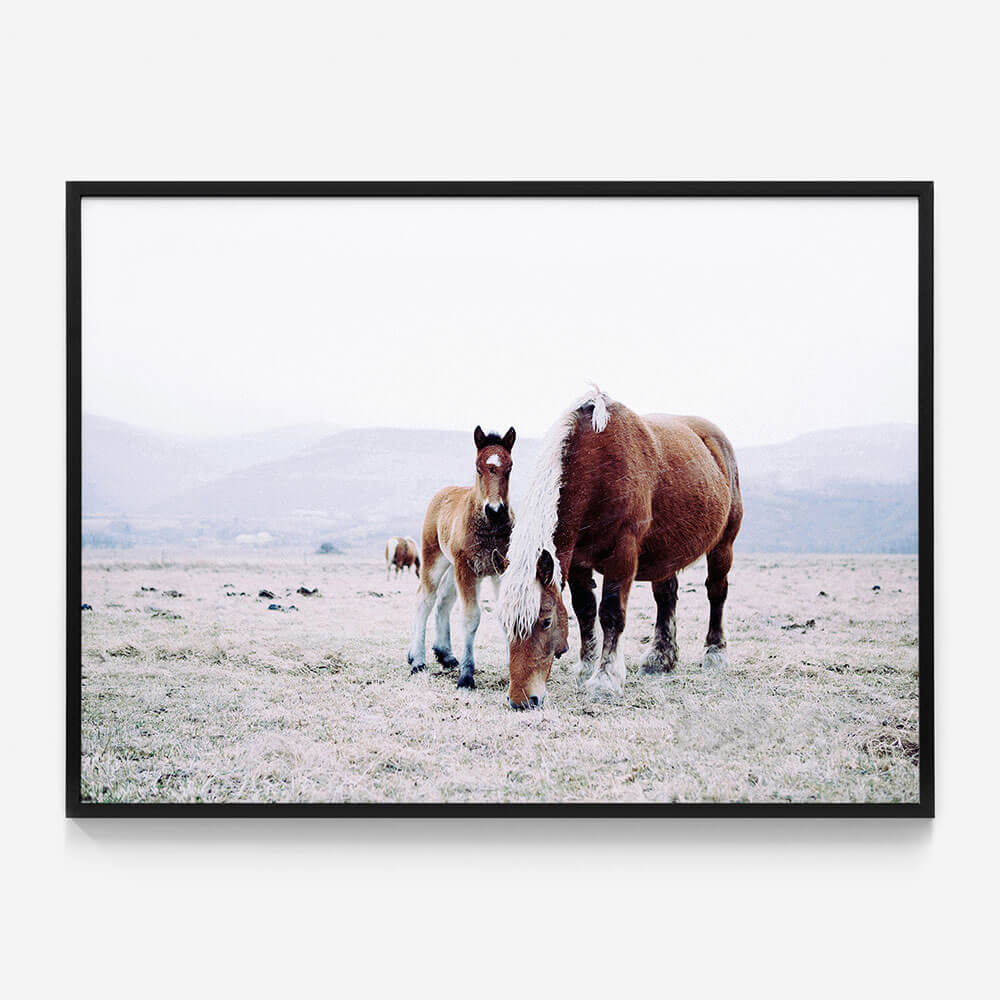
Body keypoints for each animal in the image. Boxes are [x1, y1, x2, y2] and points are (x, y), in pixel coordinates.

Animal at [407, 425, 516, 690]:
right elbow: (470, 617)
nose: (495, 510)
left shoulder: (500, 569)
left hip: (453, 566)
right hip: (435, 559)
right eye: (478, 469)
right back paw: (417, 660)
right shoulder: (467, 568)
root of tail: (444, 491)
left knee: (443, 602)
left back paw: (445, 654)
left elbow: (506, 614)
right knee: (425, 599)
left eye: (509, 468)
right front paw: (466, 677)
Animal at [496, 388, 742, 709]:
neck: (596, 466)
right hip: (665, 552)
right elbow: (585, 611)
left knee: (716, 591)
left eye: (546, 621)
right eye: (504, 624)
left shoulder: (622, 554)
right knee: (666, 597)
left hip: (723, 545)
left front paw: (605, 680)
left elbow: (611, 613)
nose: (521, 700)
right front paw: (586, 668)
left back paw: (715, 653)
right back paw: (660, 659)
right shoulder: (577, 562)